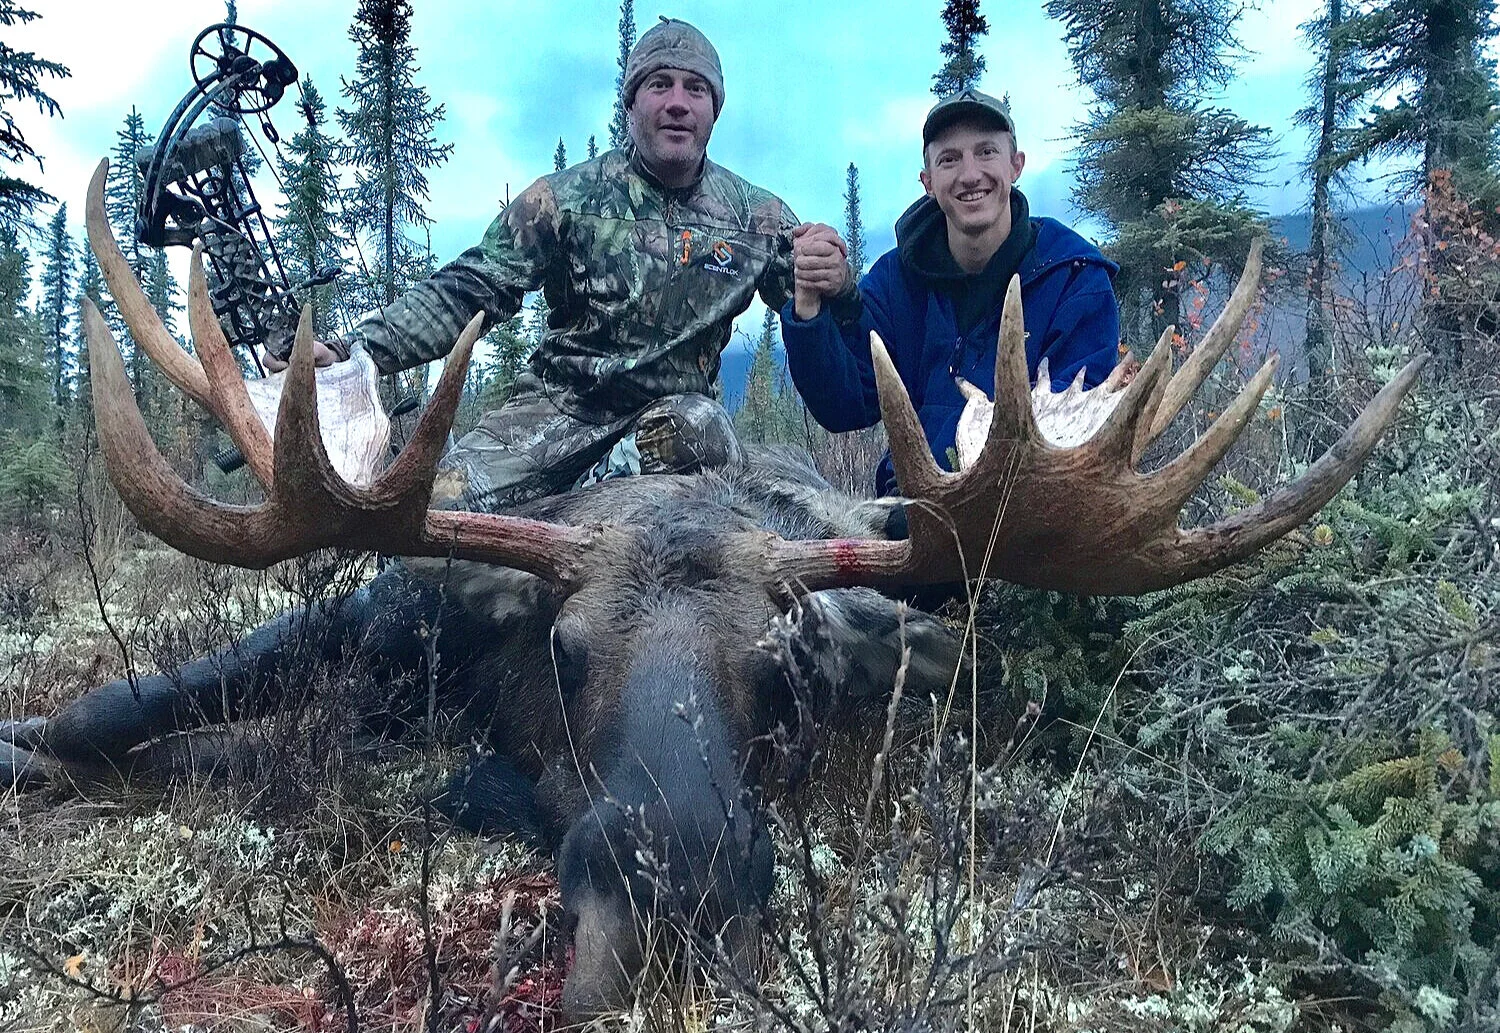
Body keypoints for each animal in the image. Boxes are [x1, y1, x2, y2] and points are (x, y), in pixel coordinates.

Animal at [0, 160, 1424, 1019]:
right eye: (563, 648)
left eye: (784, 665)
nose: (675, 896)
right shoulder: (383, 614)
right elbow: (122, 704)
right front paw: (29, 743)